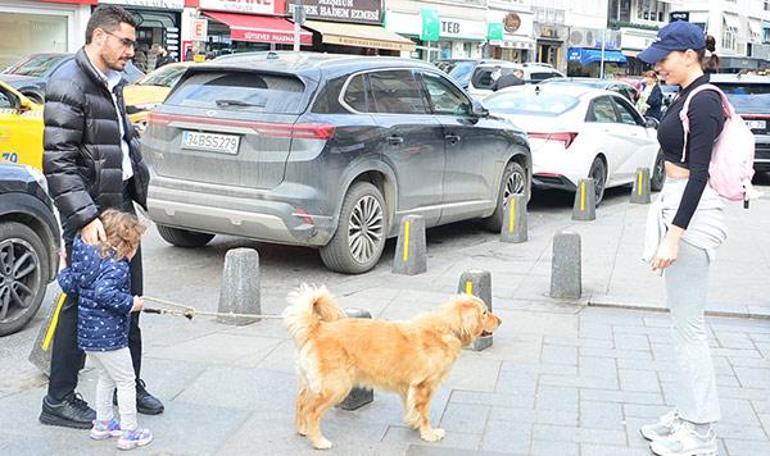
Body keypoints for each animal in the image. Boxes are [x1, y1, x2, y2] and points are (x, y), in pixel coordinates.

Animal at [280, 284, 498, 448]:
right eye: (485, 312)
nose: (501, 320)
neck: (447, 328)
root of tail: (317, 328)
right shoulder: (424, 387)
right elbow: (424, 413)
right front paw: (428, 433)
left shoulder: (409, 387)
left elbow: (412, 408)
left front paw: (414, 423)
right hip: (336, 386)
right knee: (312, 411)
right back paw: (318, 441)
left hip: (310, 382)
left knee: (300, 403)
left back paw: (303, 430)